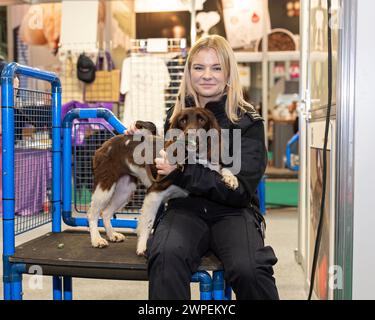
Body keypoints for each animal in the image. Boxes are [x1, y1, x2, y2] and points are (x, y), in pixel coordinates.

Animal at [87, 107, 239, 255]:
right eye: (182, 121)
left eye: (202, 120)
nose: (189, 135)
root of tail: (105, 145)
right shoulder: (154, 192)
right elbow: (148, 222)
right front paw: (142, 247)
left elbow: (221, 170)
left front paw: (231, 178)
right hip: (105, 186)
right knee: (93, 213)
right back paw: (96, 240)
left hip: (125, 190)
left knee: (106, 212)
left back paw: (112, 234)